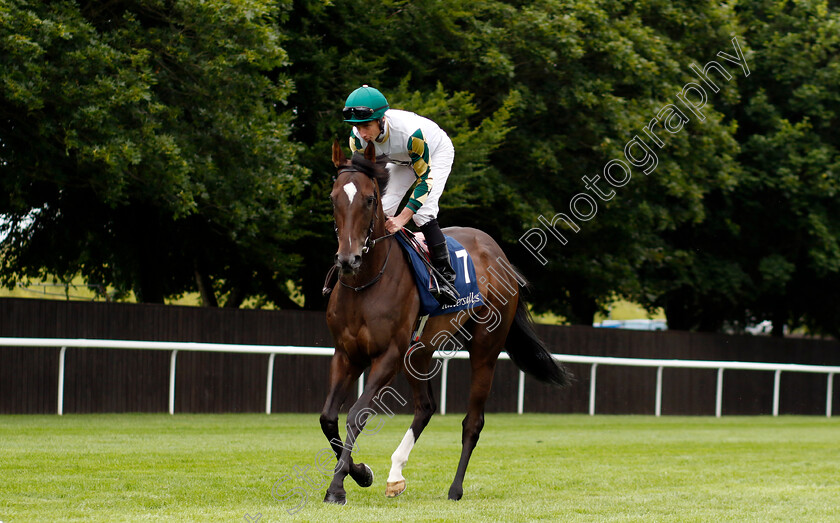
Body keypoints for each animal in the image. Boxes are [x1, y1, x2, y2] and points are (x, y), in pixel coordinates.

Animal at [322, 139, 572, 504]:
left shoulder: (388, 356)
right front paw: (362, 472)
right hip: (420, 353)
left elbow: (357, 414)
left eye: (369, 199)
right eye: (334, 197)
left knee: (473, 421)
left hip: (484, 348)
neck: (365, 284)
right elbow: (328, 418)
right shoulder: (346, 353)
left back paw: (455, 488)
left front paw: (338, 486)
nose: (348, 259)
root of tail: (497, 252)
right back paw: (395, 475)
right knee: (425, 407)